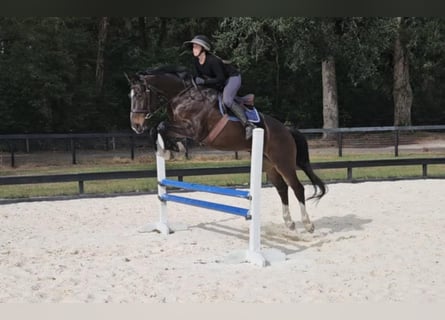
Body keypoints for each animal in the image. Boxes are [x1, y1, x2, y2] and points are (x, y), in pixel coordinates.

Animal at [126, 65, 324, 232]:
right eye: (131, 96)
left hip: (283, 161)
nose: (136, 126)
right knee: (282, 188)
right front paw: (171, 149)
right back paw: (289, 222)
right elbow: (158, 129)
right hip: (268, 164)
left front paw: (170, 150)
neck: (182, 96)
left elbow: (160, 125)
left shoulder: (194, 131)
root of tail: (286, 130)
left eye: (140, 95)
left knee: (297, 187)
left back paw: (307, 224)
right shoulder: (180, 127)